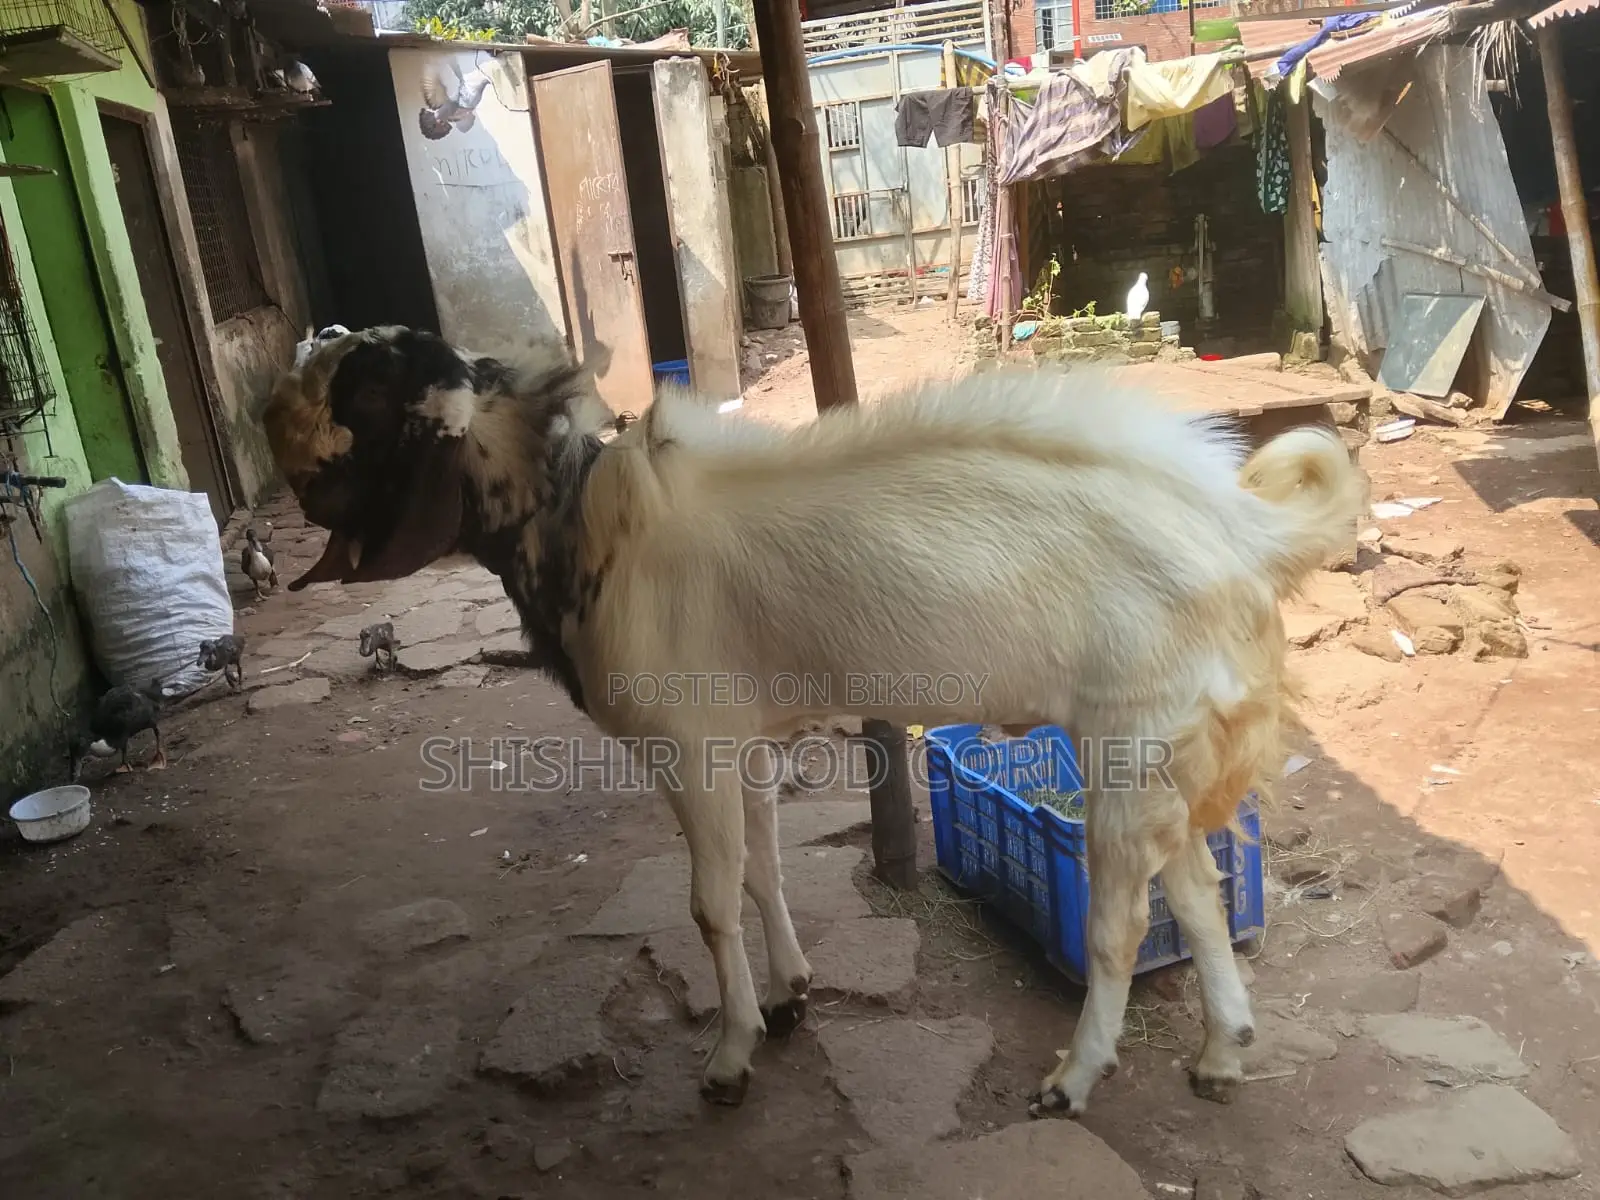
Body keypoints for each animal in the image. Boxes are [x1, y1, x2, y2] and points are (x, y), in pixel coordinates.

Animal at [262, 324, 1366, 1113]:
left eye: (365, 400)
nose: (291, 476)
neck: (588, 529)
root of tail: (1244, 529)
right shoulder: (741, 739)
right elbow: (762, 868)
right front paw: (789, 992)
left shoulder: (687, 746)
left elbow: (708, 902)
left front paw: (729, 1054)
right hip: (1165, 744)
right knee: (1197, 887)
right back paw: (1222, 1054)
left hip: (1128, 737)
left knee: (1123, 917)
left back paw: (1074, 1078)